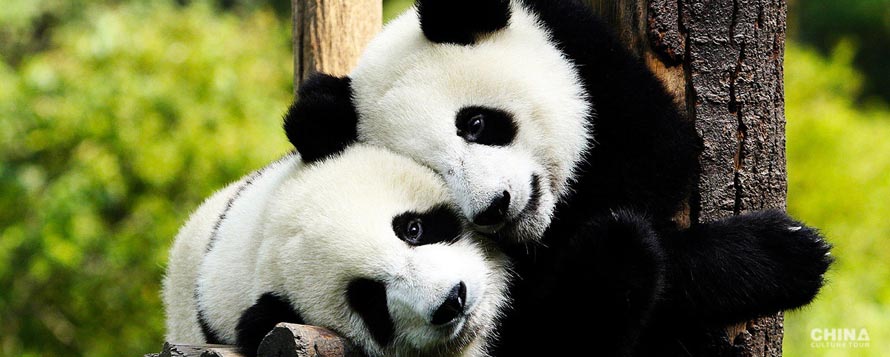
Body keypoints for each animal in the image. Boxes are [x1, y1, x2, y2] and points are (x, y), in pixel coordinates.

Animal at [284, 0, 832, 354]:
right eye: (435, 174)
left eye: (475, 123)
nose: (495, 207)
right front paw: (783, 253)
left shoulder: (600, 76)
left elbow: (660, 162)